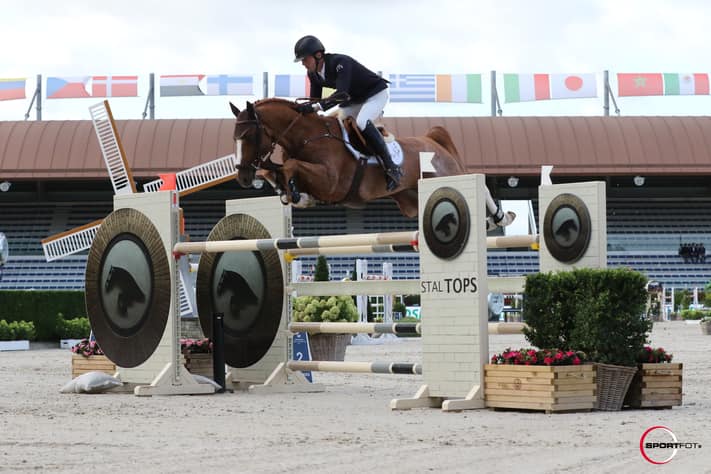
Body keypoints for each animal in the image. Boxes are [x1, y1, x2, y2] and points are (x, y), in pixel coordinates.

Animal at [229, 98, 514, 228]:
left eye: (249, 135)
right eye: (234, 137)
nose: (243, 178)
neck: (308, 136)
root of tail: (433, 140)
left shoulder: (331, 182)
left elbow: (290, 167)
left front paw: (298, 196)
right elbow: (273, 171)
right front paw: (293, 195)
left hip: (446, 175)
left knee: (480, 185)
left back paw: (500, 219)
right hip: (411, 200)